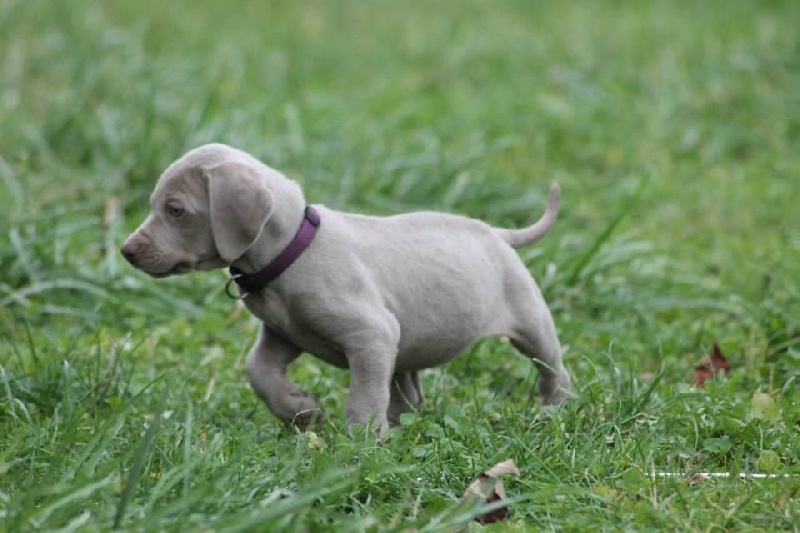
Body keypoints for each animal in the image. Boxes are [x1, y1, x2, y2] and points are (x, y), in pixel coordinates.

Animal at [121, 143, 571, 434]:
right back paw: (401, 425)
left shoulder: (371, 335)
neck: (293, 249)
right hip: (408, 343)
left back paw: (554, 409)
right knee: (408, 392)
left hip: (529, 318)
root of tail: (496, 232)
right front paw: (301, 411)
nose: (127, 251)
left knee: (551, 365)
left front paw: (360, 446)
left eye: (175, 210)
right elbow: (258, 370)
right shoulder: (284, 334)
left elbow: (363, 397)